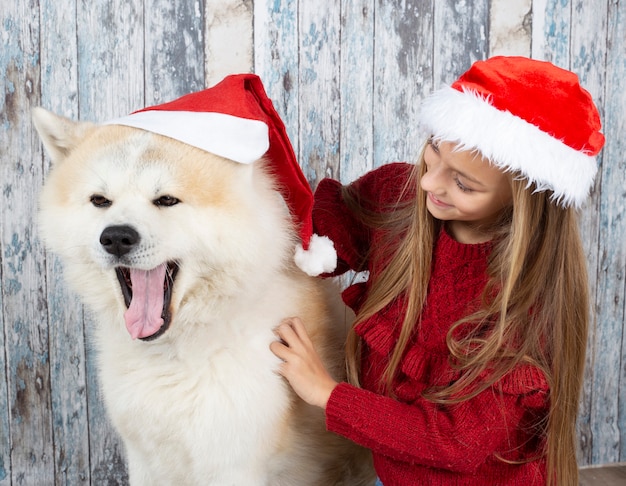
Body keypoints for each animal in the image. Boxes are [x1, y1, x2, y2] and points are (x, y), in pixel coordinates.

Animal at [33, 78, 370, 484]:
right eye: (100, 201)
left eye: (166, 200)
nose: (115, 237)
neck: (172, 358)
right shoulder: (144, 459)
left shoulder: (233, 465)